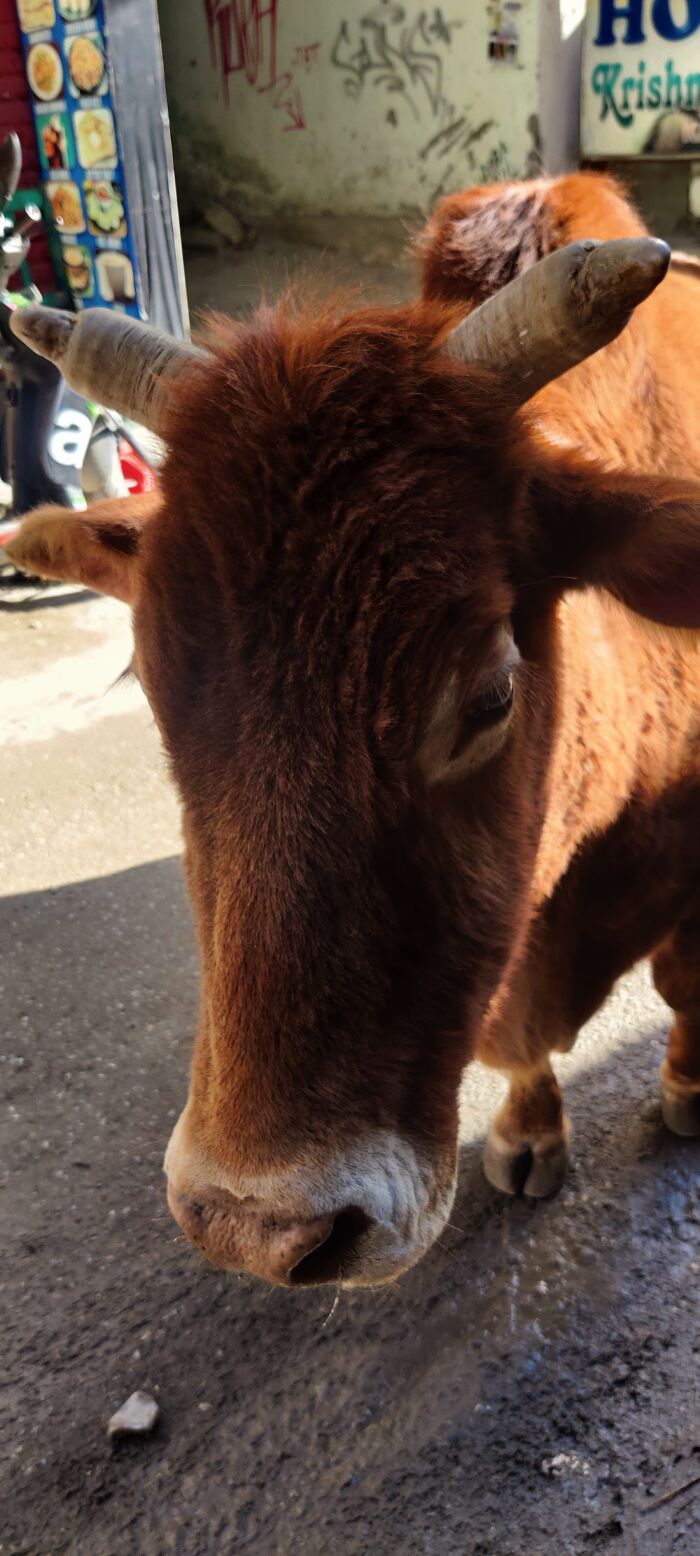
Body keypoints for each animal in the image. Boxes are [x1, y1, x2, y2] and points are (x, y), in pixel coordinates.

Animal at [6, 172, 700, 1290]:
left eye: (488, 697)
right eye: (153, 686)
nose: (257, 1225)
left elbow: (686, 988)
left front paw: (683, 1088)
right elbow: (516, 1040)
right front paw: (528, 1132)